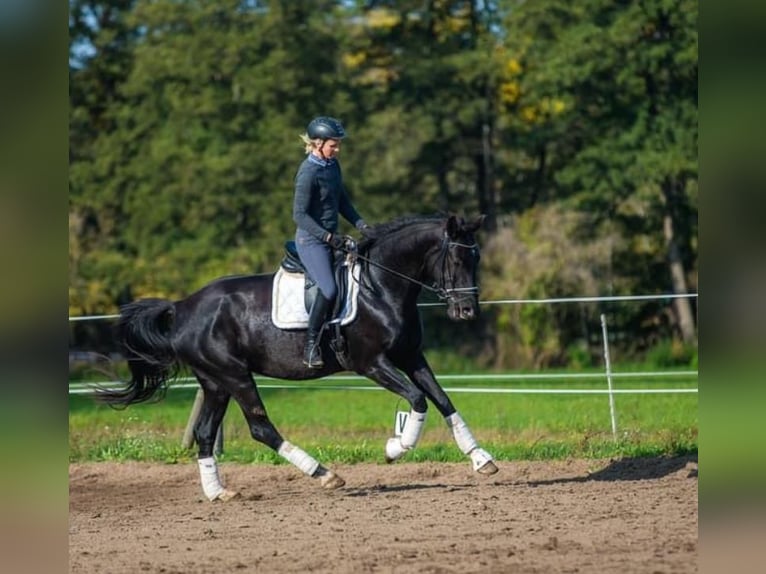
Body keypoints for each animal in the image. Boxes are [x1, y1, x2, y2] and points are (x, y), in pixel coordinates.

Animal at [99, 213, 498, 501]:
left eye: (476, 257)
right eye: (456, 258)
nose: (467, 311)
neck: (381, 287)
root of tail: (181, 308)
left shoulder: (411, 357)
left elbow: (443, 401)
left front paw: (481, 459)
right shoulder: (371, 364)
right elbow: (418, 399)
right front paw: (395, 448)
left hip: (215, 382)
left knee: (206, 432)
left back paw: (218, 493)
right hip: (234, 376)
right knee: (260, 427)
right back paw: (325, 474)